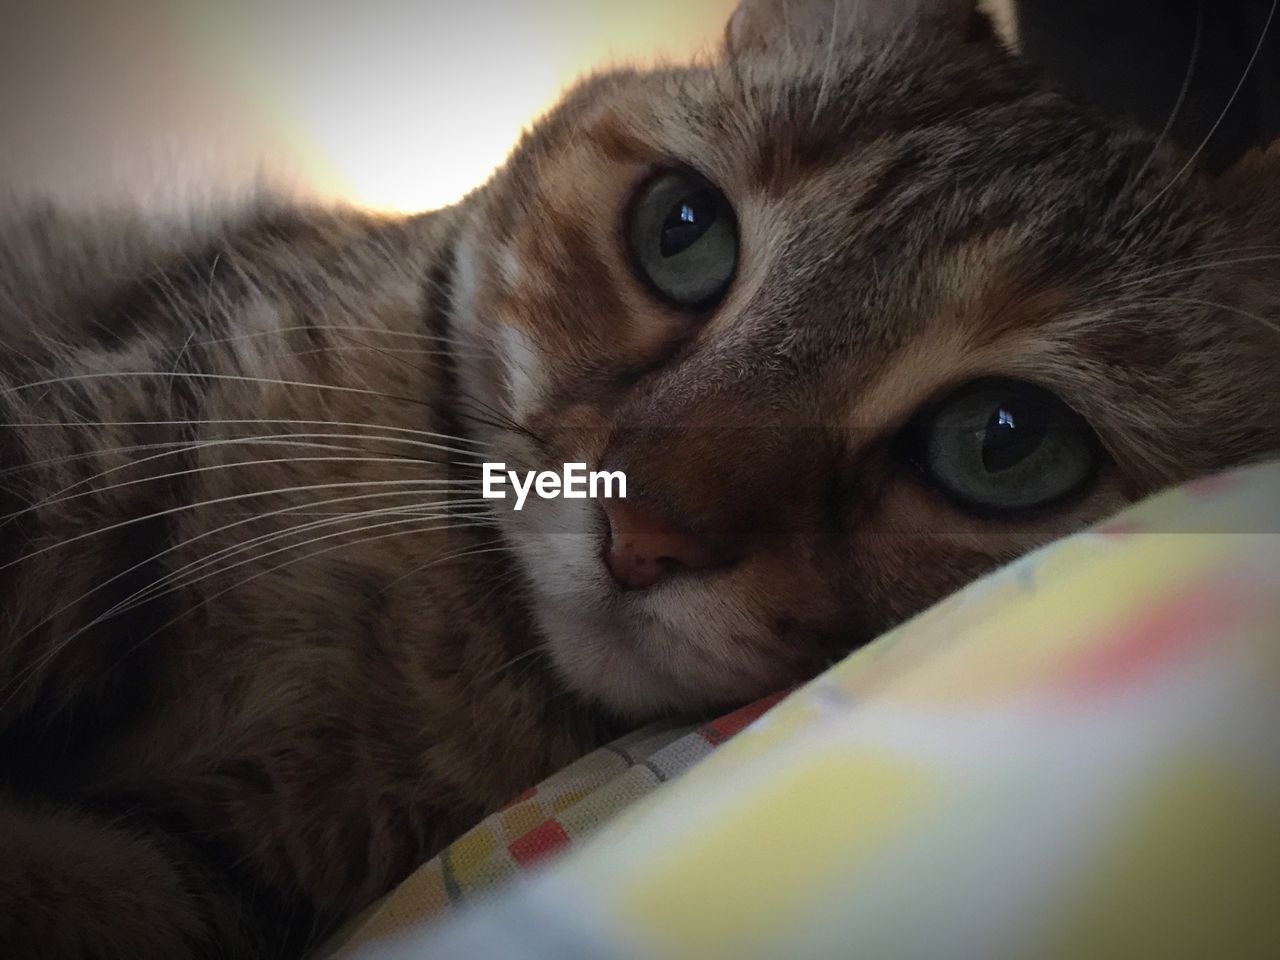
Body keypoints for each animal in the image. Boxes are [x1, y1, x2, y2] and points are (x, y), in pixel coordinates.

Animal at [2, 0, 1280, 957]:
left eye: (1004, 441)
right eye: (681, 228)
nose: (640, 529)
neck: (443, 645)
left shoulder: (203, 867)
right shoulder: (102, 436)